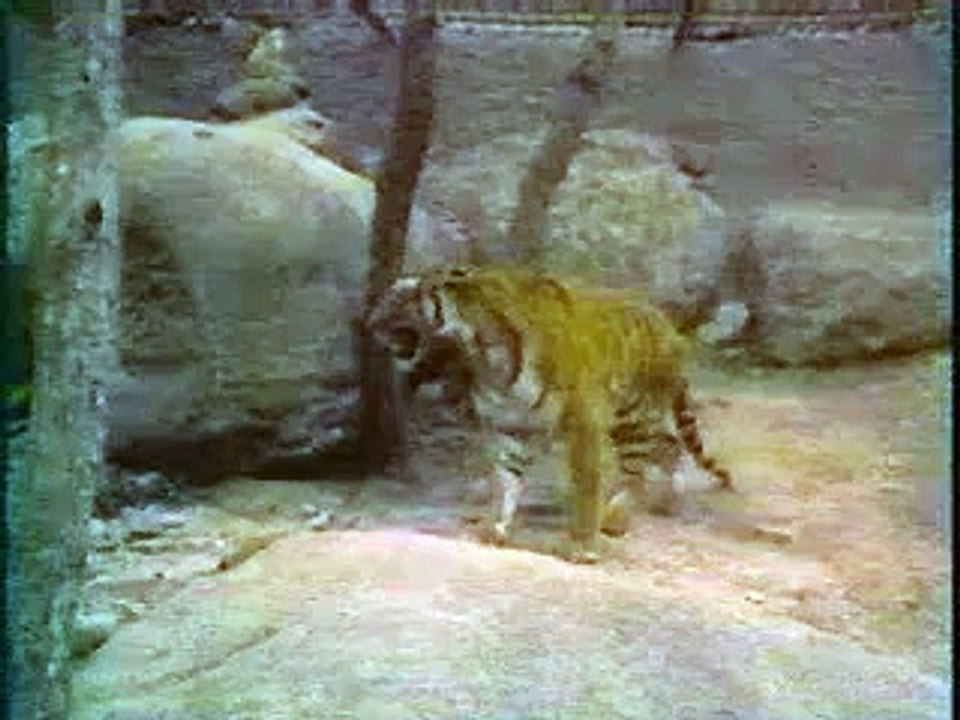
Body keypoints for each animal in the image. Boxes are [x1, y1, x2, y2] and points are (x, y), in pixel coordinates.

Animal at [365, 265, 732, 559]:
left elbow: (585, 485)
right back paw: (667, 503)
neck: (481, 354)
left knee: (641, 464)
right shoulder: (509, 425)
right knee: (668, 446)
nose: (368, 324)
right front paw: (496, 527)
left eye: (397, 300)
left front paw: (581, 546)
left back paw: (617, 518)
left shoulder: (583, 423)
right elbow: (507, 479)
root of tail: (669, 325)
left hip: (634, 416)